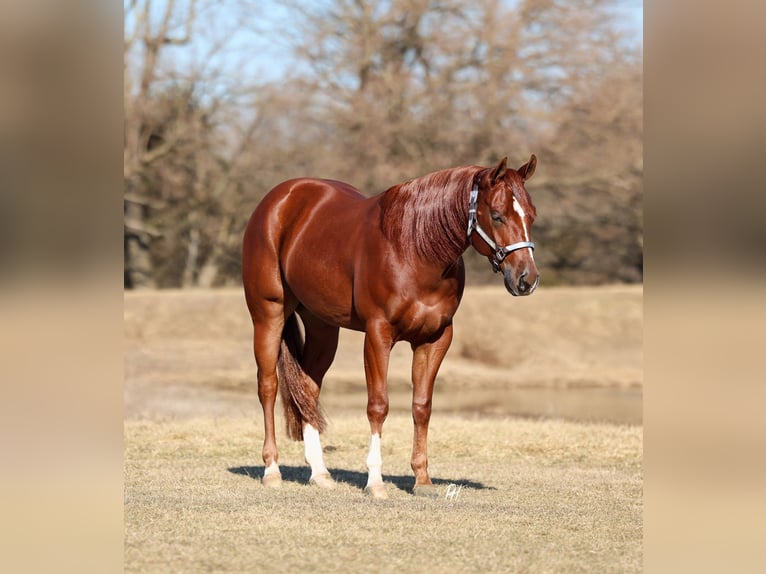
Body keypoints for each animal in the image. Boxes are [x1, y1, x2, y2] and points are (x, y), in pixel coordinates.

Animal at [242, 155, 539, 499]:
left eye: (531, 215)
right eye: (497, 215)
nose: (527, 279)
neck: (413, 248)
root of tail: (279, 199)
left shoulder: (436, 338)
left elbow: (422, 406)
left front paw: (422, 480)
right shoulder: (378, 334)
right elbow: (378, 405)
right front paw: (375, 482)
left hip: (322, 326)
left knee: (308, 388)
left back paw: (320, 473)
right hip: (268, 314)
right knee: (268, 386)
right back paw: (272, 469)